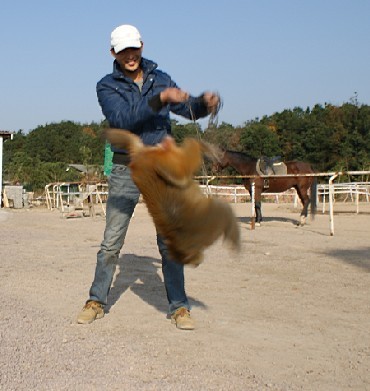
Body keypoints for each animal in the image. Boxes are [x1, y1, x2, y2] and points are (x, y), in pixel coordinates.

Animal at [105, 129, 241, 266]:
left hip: (168, 163)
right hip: (174, 164)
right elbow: (226, 211)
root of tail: (140, 157)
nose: (197, 263)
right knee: (189, 153)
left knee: (189, 148)